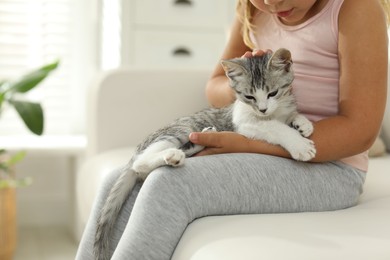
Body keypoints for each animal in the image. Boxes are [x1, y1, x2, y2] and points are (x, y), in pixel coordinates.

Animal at [93, 48, 316, 260]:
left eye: (273, 92)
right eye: (249, 97)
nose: (262, 109)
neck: (273, 113)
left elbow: (289, 117)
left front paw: (302, 123)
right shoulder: (244, 122)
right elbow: (275, 128)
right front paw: (300, 145)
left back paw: (199, 141)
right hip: (180, 130)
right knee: (140, 164)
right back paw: (172, 155)